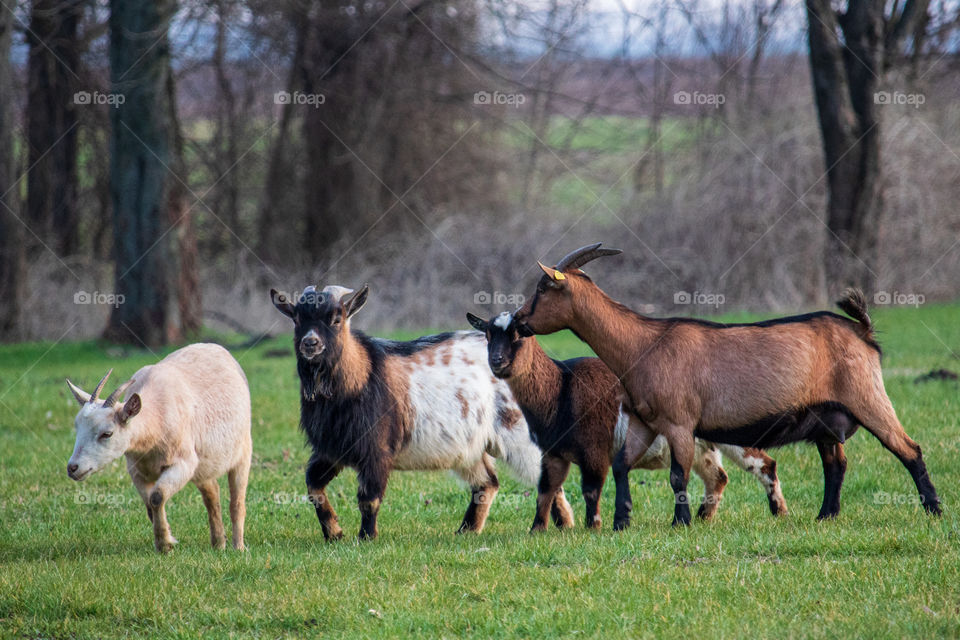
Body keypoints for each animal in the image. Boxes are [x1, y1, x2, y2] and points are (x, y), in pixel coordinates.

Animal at [66, 344, 251, 552]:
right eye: (77, 426)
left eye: (107, 433)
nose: (73, 468)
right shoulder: (136, 469)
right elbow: (149, 505)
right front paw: (166, 539)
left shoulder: (183, 463)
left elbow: (157, 497)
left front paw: (165, 544)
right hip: (204, 464)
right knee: (212, 493)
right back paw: (219, 543)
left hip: (243, 449)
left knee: (237, 502)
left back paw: (238, 547)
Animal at [271, 284, 569, 540]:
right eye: (297, 319)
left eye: (336, 319)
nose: (310, 344)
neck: (360, 376)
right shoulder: (332, 448)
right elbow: (313, 485)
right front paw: (334, 533)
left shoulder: (376, 450)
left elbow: (369, 499)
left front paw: (365, 538)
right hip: (470, 447)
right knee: (488, 483)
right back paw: (466, 531)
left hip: (516, 432)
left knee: (545, 472)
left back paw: (564, 524)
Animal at [468, 311, 787, 531]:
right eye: (488, 336)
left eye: (519, 335)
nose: (496, 362)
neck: (561, 391)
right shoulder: (553, 452)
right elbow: (545, 489)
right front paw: (537, 529)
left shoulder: (594, 448)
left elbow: (590, 489)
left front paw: (593, 526)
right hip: (700, 445)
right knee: (718, 477)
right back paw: (703, 517)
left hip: (734, 428)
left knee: (764, 464)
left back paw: (780, 512)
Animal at [516, 243, 941, 526]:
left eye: (542, 288)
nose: (519, 320)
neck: (643, 342)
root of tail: (862, 331)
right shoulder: (642, 421)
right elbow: (621, 465)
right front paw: (622, 522)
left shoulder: (679, 422)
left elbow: (678, 474)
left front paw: (681, 522)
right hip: (826, 419)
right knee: (836, 462)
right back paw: (826, 516)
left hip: (868, 397)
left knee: (909, 449)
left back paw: (934, 510)